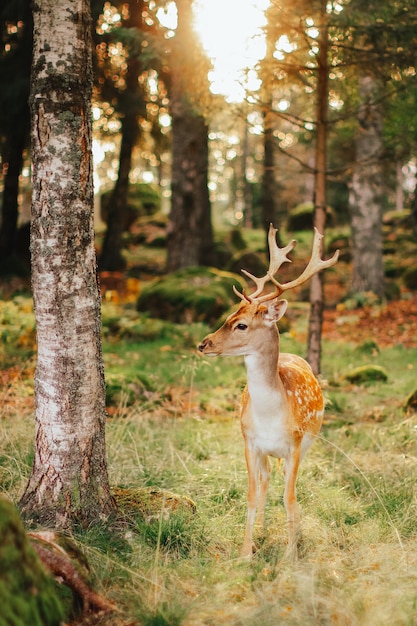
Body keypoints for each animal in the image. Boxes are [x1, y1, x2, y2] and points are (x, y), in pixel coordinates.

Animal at [197, 224, 336, 556]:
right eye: (227, 317)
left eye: (242, 325)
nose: (203, 344)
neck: (271, 415)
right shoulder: (249, 442)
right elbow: (250, 492)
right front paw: (245, 551)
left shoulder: (295, 445)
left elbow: (290, 497)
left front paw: (290, 552)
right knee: (266, 479)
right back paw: (261, 529)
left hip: (307, 443)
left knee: (286, 484)